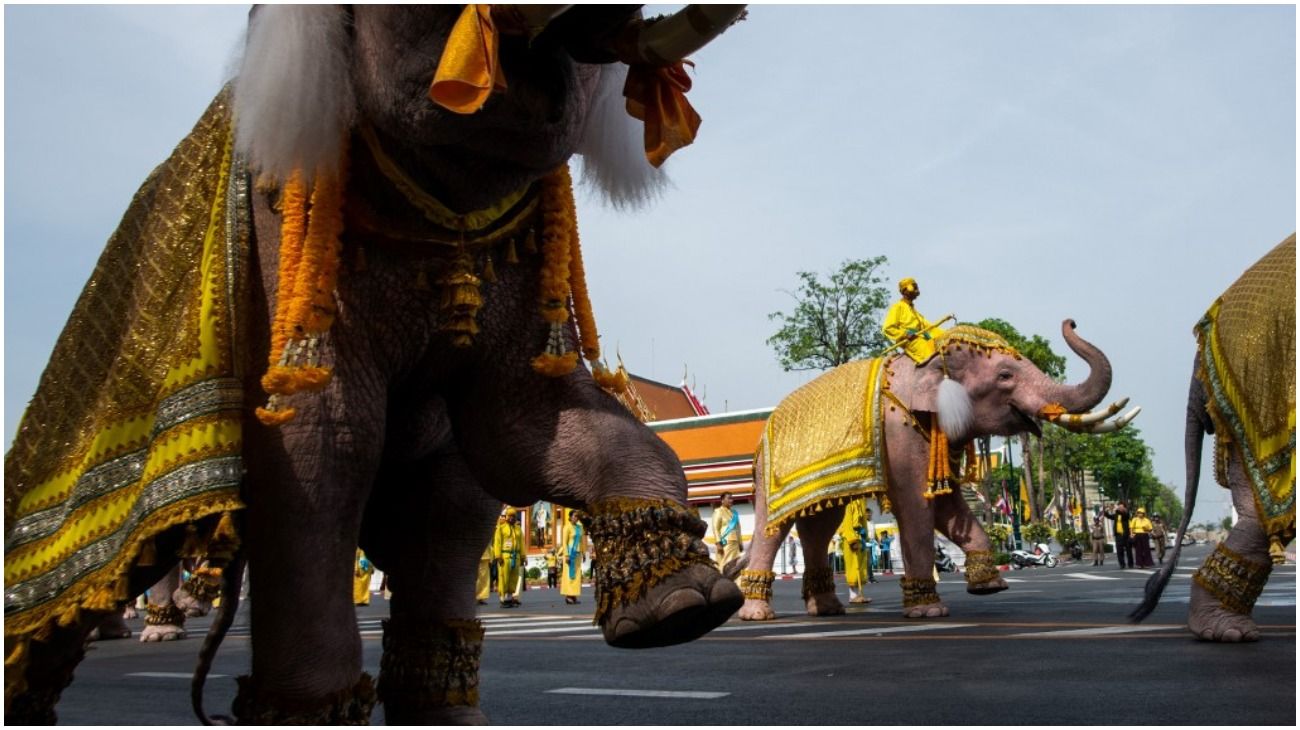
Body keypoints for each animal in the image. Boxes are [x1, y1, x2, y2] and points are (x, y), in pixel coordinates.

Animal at [733, 320, 1138, 615]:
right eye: (1005, 376)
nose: (1070, 321)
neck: (930, 359)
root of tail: (762, 435)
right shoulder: (900, 437)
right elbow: (916, 507)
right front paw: (928, 611)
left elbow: (947, 507)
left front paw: (989, 587)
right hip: (772, 475)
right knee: (773, 527)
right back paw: (757, 613)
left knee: (819, 525)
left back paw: (827, 610)